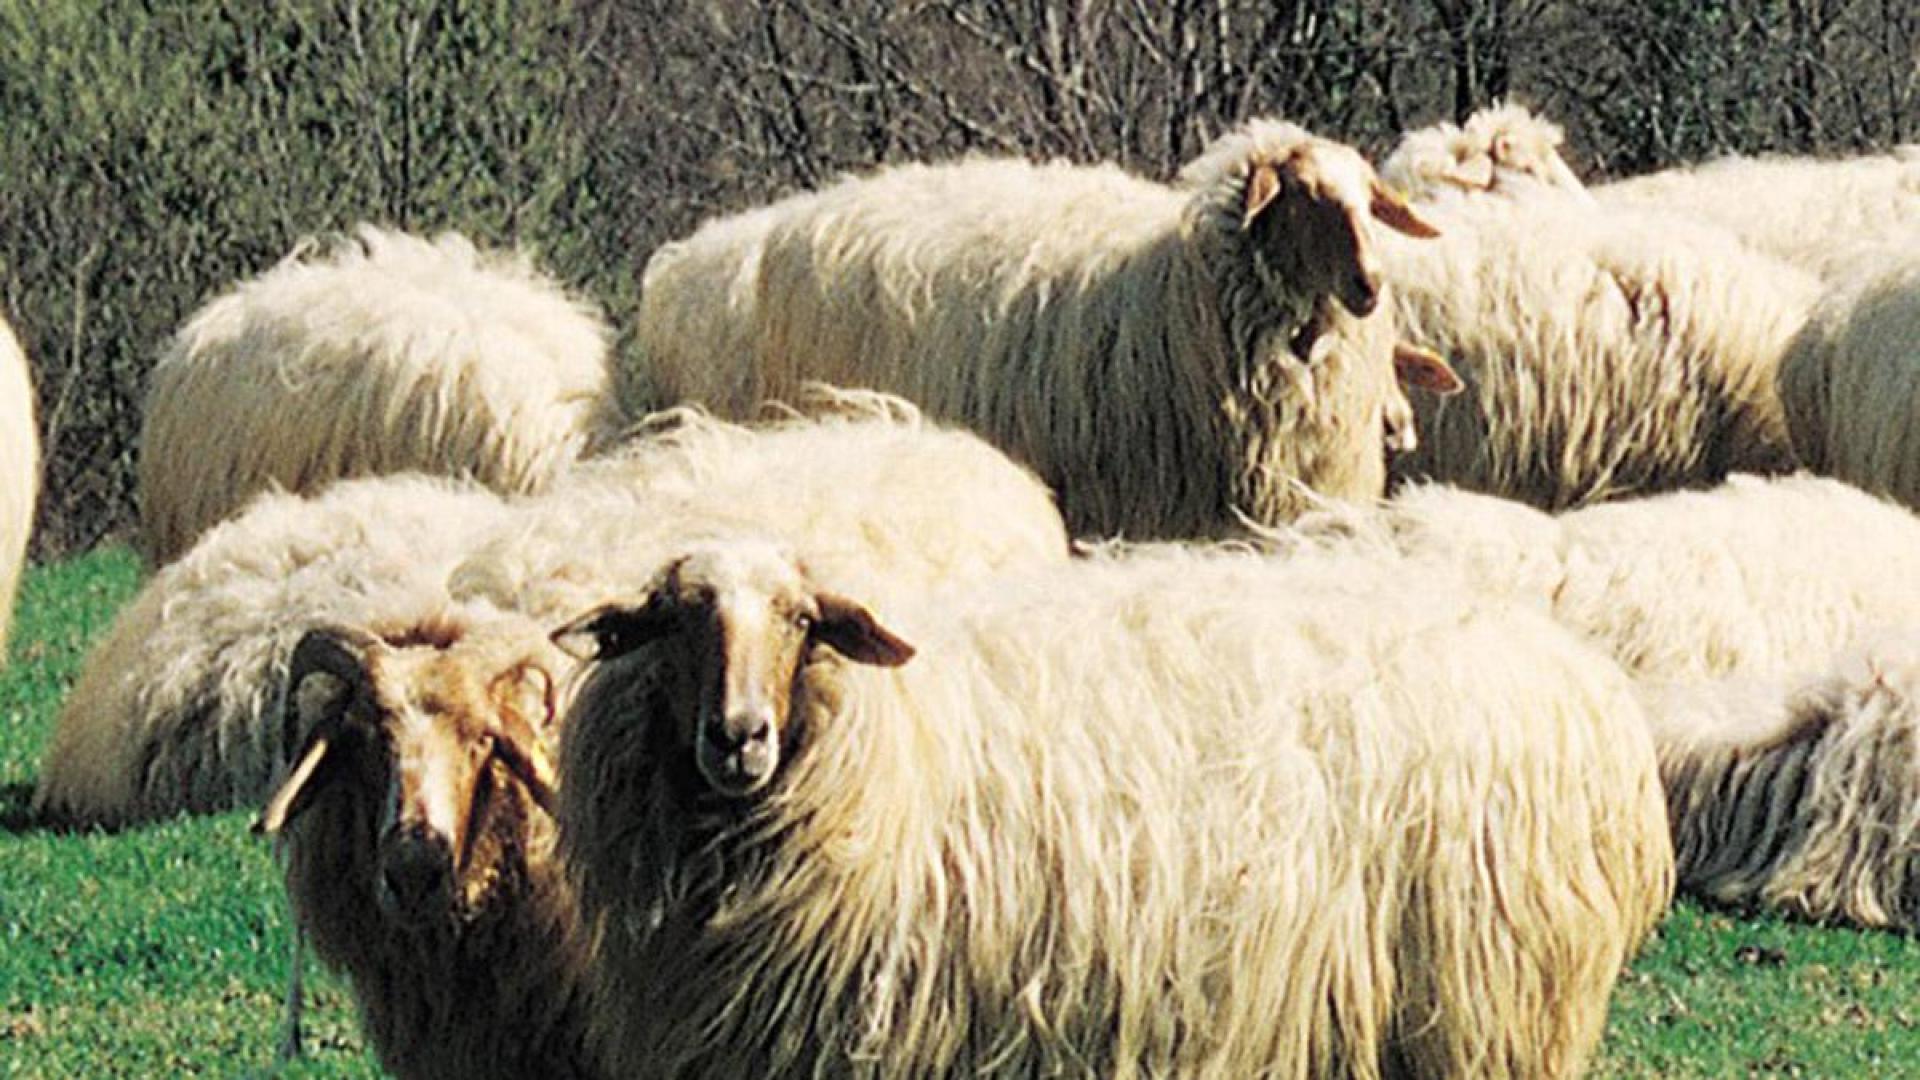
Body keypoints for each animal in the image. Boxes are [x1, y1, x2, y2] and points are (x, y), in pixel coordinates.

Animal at [555, 536, 1673, 1079]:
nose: (738, 736)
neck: (895, 745)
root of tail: (1585, 682)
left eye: (800, 620)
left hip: (1494, 1012)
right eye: (675, 618)